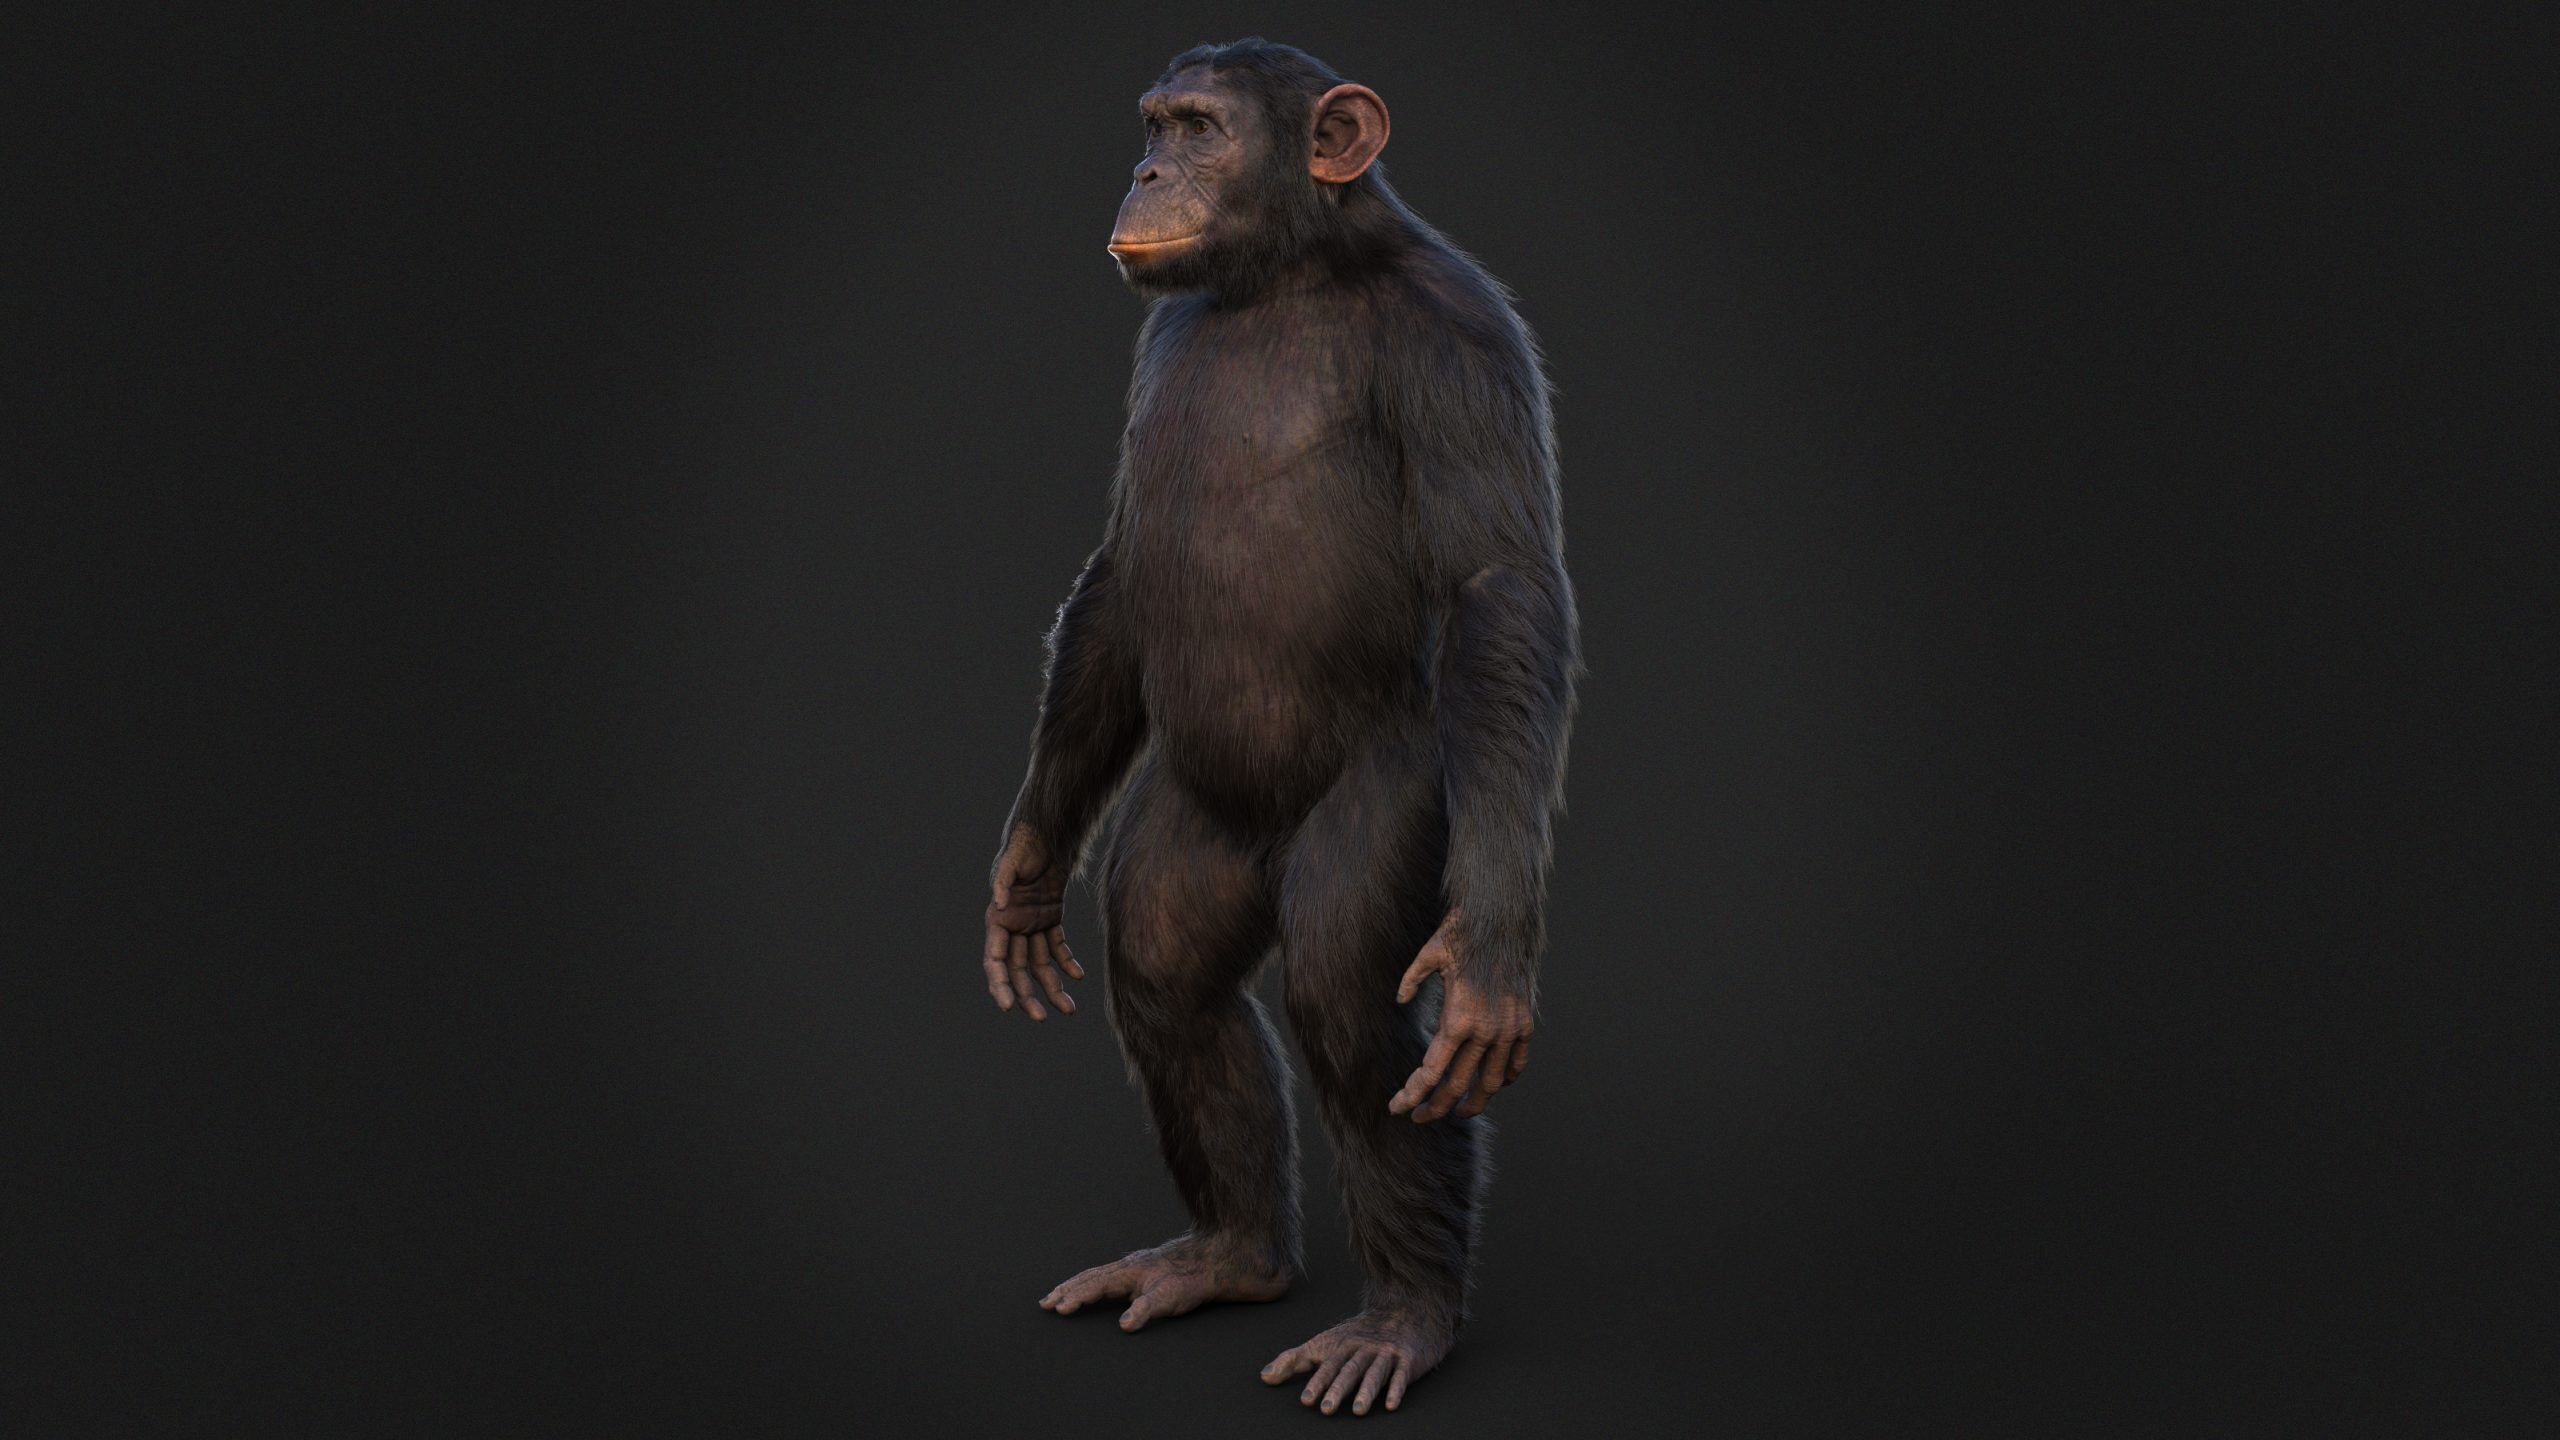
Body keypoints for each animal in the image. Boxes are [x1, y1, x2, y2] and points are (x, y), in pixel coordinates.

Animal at [979, 38, 1581, 1417]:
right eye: (1153, 124)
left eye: (1200, 129)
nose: (1146, 171)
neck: (1294, 269)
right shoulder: (1159, 336)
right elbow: (1122, 574)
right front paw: (1025, 871)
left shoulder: (1459, 337)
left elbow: (1494, 589)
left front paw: (1490, 959)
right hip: (1192, 826)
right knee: (1168, 976)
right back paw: (1231, 1257)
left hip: (1403, 790)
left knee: (1345, 999)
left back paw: (1400, 1323)